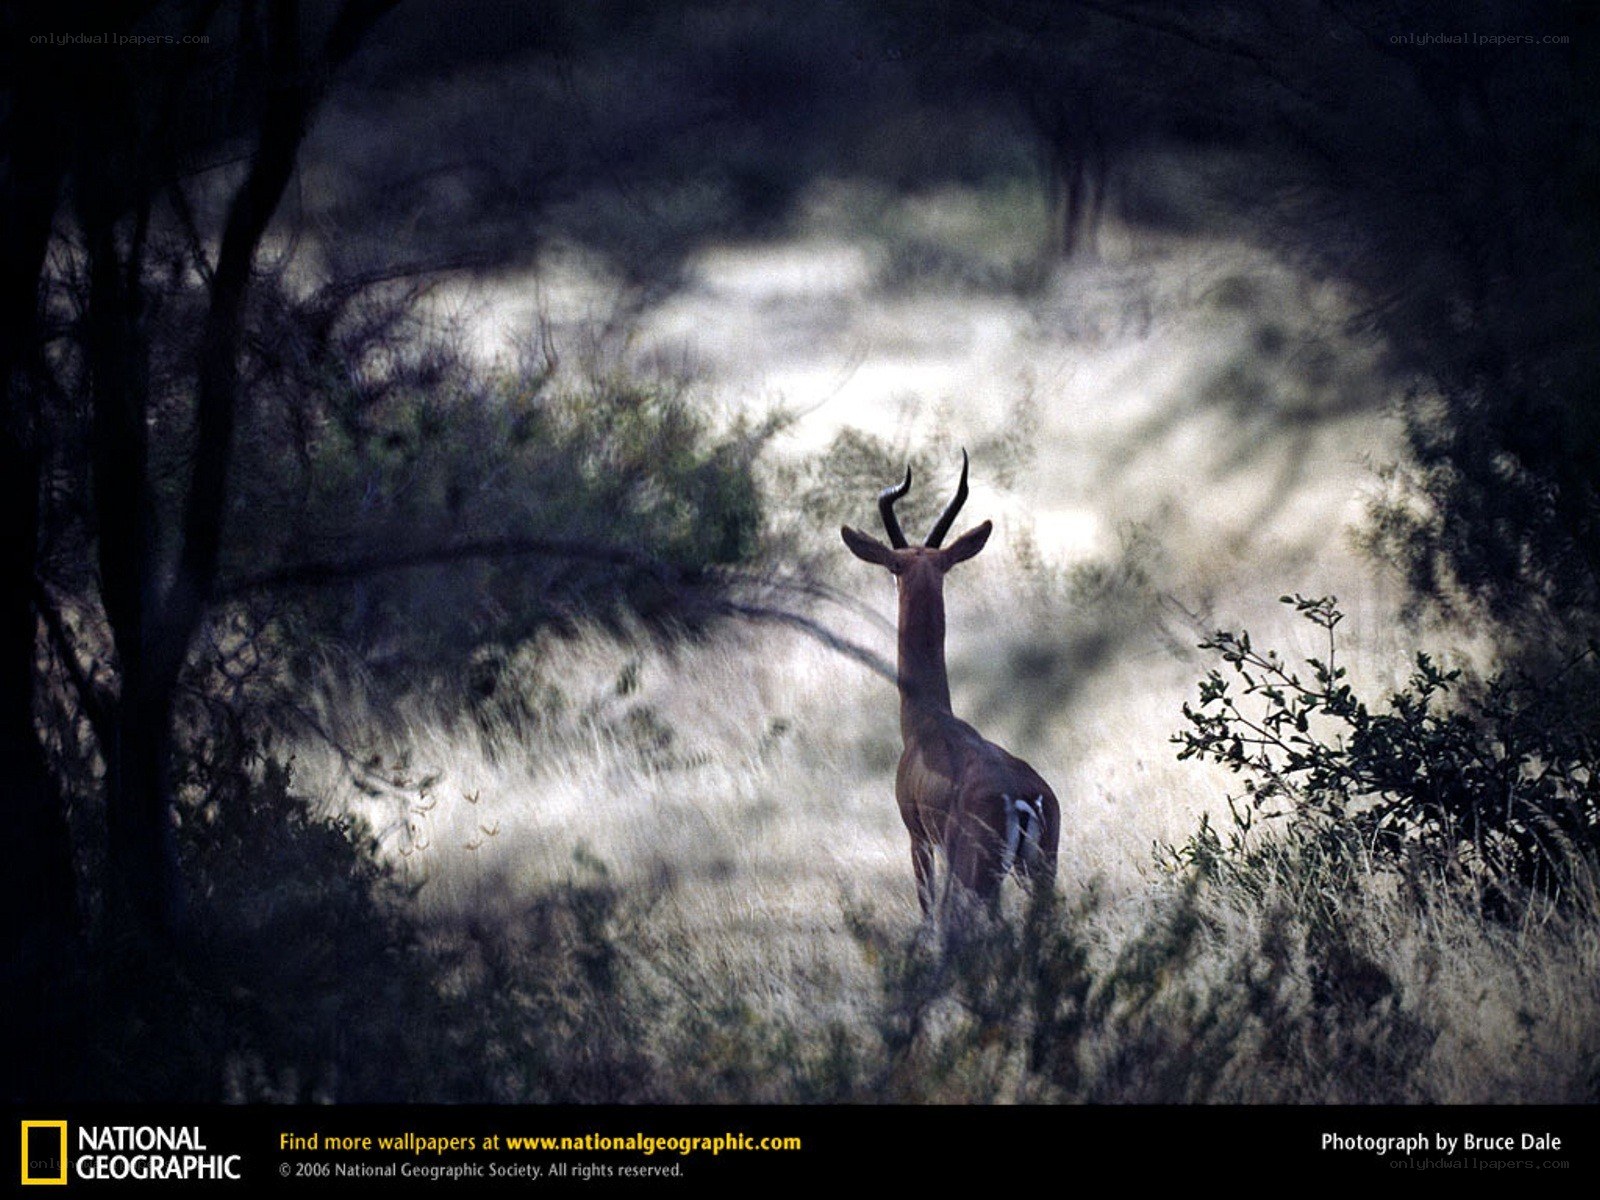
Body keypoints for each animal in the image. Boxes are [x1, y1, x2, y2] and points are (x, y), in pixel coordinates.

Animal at [842, 451, 1060, 922]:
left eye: (894, 566)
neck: (930, 720)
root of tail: (1020, 797)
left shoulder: (918, 840)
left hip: (979, 876)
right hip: (1041, 872)